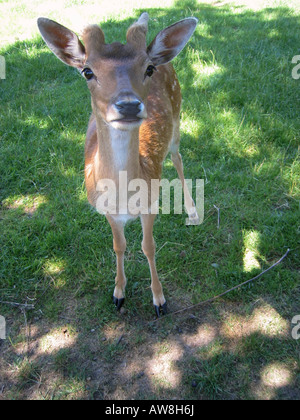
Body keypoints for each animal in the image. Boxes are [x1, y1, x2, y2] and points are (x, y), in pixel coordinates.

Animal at [38, 11, 199, 316]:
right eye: (87, 71)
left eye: (148, 68)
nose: (128, 105)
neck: (124, 197)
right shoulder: (106, 212)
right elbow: (119, 246)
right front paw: (118, 294)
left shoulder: (151, 202)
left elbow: (149, 246)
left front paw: (159, 300)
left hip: (177, 119)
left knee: (179, 159)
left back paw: (193, 212)